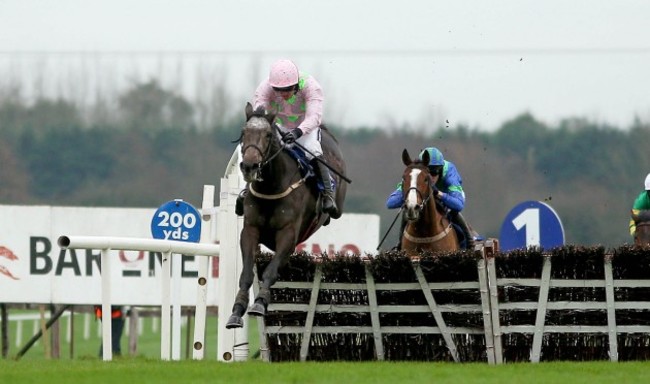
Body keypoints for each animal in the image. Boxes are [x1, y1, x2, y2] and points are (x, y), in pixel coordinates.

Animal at [225, 101, 346, 328]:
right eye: (244, 132)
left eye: (267, 135)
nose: (249, 166)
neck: (271, 187)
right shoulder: (250, 230)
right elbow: (246, 273)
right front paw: (237, 310)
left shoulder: (288, 235)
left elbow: (271, 271)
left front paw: (260, 303)